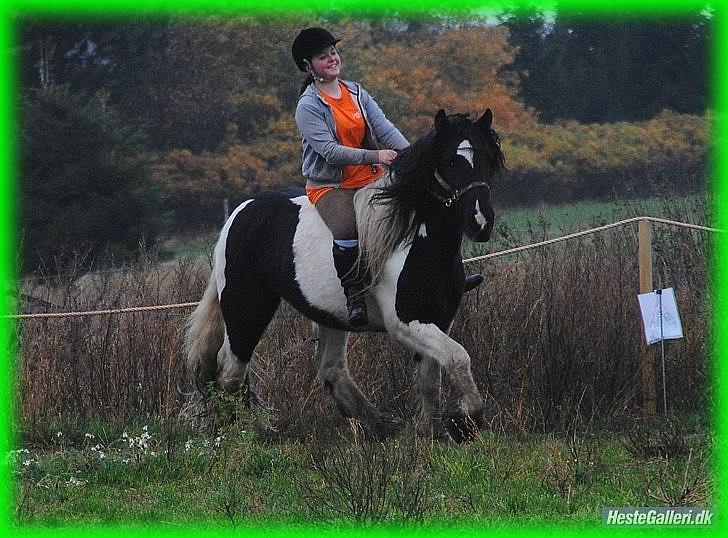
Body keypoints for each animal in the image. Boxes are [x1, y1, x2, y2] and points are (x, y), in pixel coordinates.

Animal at [183, 109, 506, 440]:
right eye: (450, 161)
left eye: (486, 158)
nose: (481, 222)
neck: (417, 241)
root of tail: (240, 213)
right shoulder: (405, 322)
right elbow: (458, 357)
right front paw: (467, 419)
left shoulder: (439, 319)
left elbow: (432, 377)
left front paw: (433, 432)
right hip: (247, 306)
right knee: (230, 370)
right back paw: (237, 435)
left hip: (330, 316)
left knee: (331, 369)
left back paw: (381, 423)